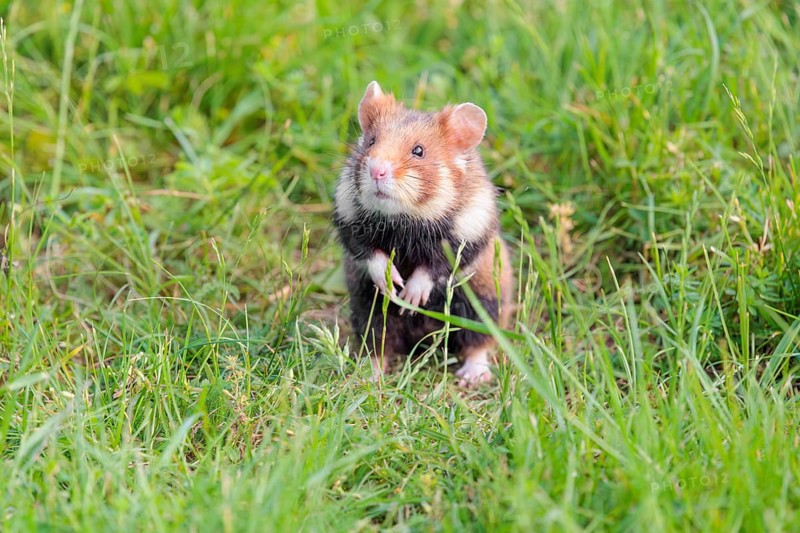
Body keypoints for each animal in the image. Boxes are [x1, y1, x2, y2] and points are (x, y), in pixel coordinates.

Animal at [333, 81, 513, 385]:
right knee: (379, 343)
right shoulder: (349, 221)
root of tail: (422, 337)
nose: (377, 171)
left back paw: (471, 376)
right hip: (366, 310)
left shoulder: (468, 231)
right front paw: (392, 284)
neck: (405, 219)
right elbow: (370, 254)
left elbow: (435, 267)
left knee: (478, 343)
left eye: (419, 151)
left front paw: (410, 299)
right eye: (371, 142)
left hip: (481, 305)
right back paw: (370, 376)